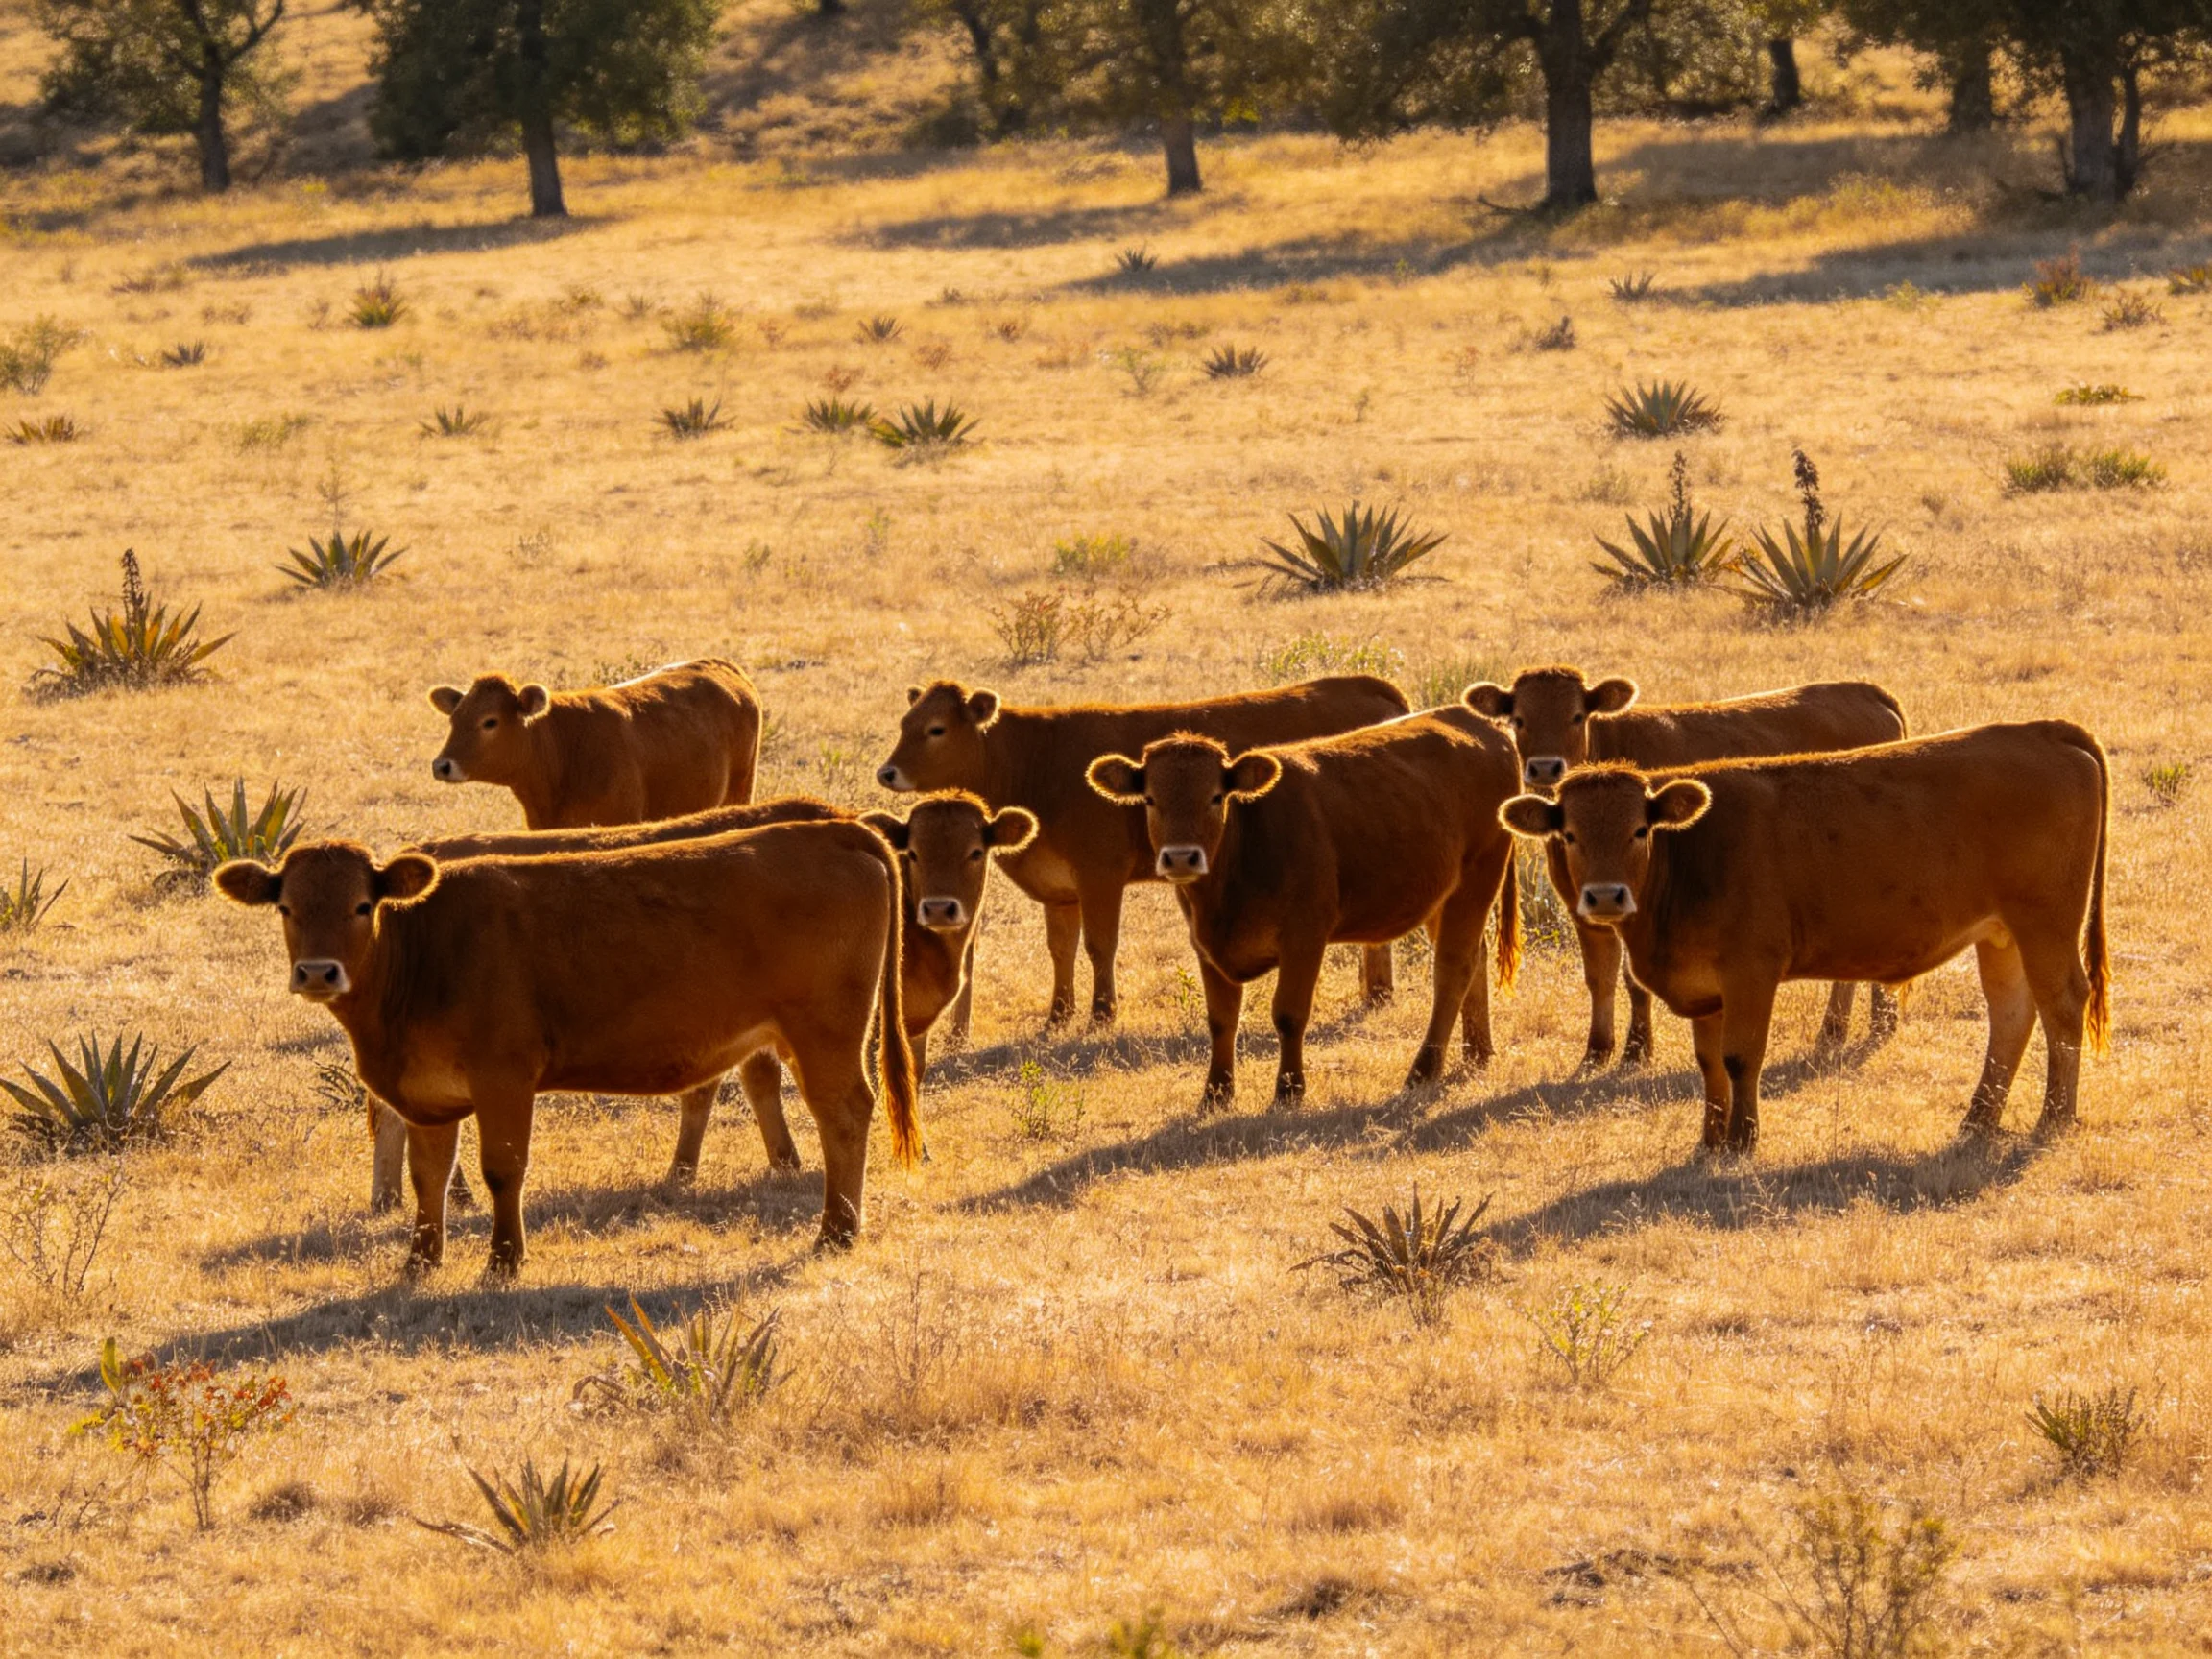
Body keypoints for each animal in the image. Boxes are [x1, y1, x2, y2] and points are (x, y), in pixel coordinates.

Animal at [214, 823, 917, 1276]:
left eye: (363, 905)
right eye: (286, 906)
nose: (317, 972)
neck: (425, 949)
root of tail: (833, 829)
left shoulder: (504, 1076)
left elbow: (503, 1169)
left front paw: (503, 1261)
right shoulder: (426, 1097)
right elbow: (428, 1177)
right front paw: (420, 1261)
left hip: (825, 1032)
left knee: (844, 1112)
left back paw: (836, 1230)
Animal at [877, 676, 1411, 1031]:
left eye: (936, 729)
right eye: (904, 723)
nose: (886, 772)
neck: (1036, 762)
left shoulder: (1101, 874)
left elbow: (1100, 945)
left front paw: (1101, 1014)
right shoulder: (1060, 890)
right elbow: (1061, 949)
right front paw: (1058, 1015)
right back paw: (1378, 993)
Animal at [1086, 706, 1523, 1109]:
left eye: (1215, 796)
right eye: (1150, 799)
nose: (1181, 858)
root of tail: (1474, 720)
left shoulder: (1304, 938)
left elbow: (1289, 1014)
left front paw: (1289, 1090)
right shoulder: (1206, 947)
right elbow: (1221, 1020)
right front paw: (1215, 1094)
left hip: (1477, 877)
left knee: (1452, 968)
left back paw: (1423, 1070)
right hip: (1442, 897)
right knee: (1475, 956)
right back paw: (1477, 1051)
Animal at [1464, 669, 1907, 1066]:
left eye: (1576, 716)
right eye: (1518, 719)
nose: (1545, 768)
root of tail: (1864, 691)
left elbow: (1633, 980)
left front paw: (1637, 1049)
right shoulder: (1582, 905)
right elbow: (1599, 976)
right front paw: (1597, 1051)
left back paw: (1865, 1024)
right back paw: (1852, 1026)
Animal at [1497, 721, 2111, 1154]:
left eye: (1640, 830)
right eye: (1569, 833)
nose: (1605, 897)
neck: (1691, 852)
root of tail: (2040, 730)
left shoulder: (1751, 970)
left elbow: (1741, 1056)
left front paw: (1742, 1141)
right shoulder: (1705, 987)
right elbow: (1709, 1063)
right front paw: (1710, 1139)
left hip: (2045, 925)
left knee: (2062, 1006)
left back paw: (2054, 1116)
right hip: (2002, 935)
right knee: (2012, 1014)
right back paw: (1978, 1119)